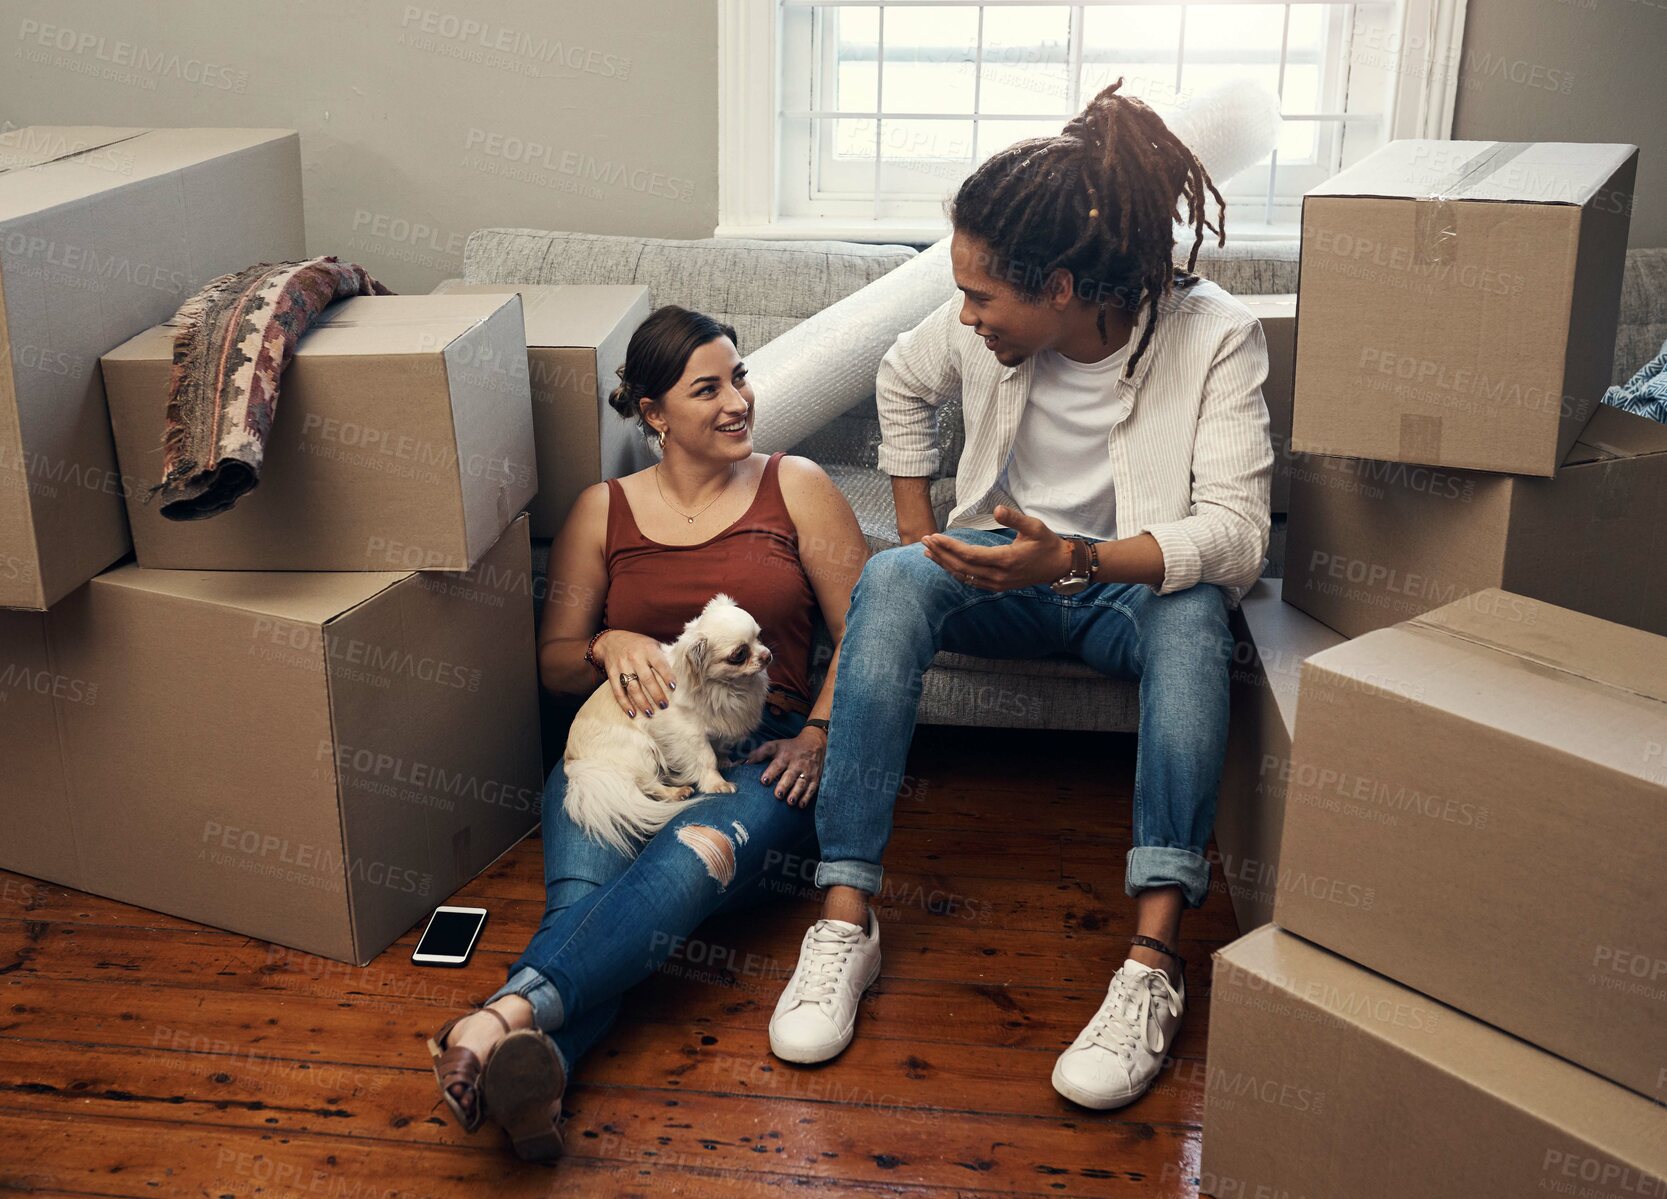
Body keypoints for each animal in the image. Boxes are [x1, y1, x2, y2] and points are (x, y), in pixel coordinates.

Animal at [560, 593, 766, 853]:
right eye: (739, 654)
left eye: (759, 636)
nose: (767, 655)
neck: (727, 688)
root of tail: (573, 761)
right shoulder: (689, 735)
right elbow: (706, 758)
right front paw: (716, 783)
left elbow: (718, 747)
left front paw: (724, 760)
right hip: (640, 750)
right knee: (646, 785)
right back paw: (676, 792)